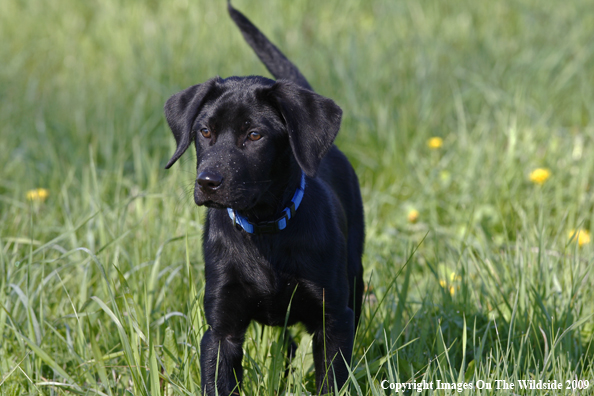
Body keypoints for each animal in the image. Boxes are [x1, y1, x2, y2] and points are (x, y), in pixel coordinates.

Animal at [164, 2, 364, 392]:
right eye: (204, 131)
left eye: (254, 135)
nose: (207, 182)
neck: (264, 228)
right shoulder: (221, 330)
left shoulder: (333, 319)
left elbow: (331, 380)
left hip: (355, 279)